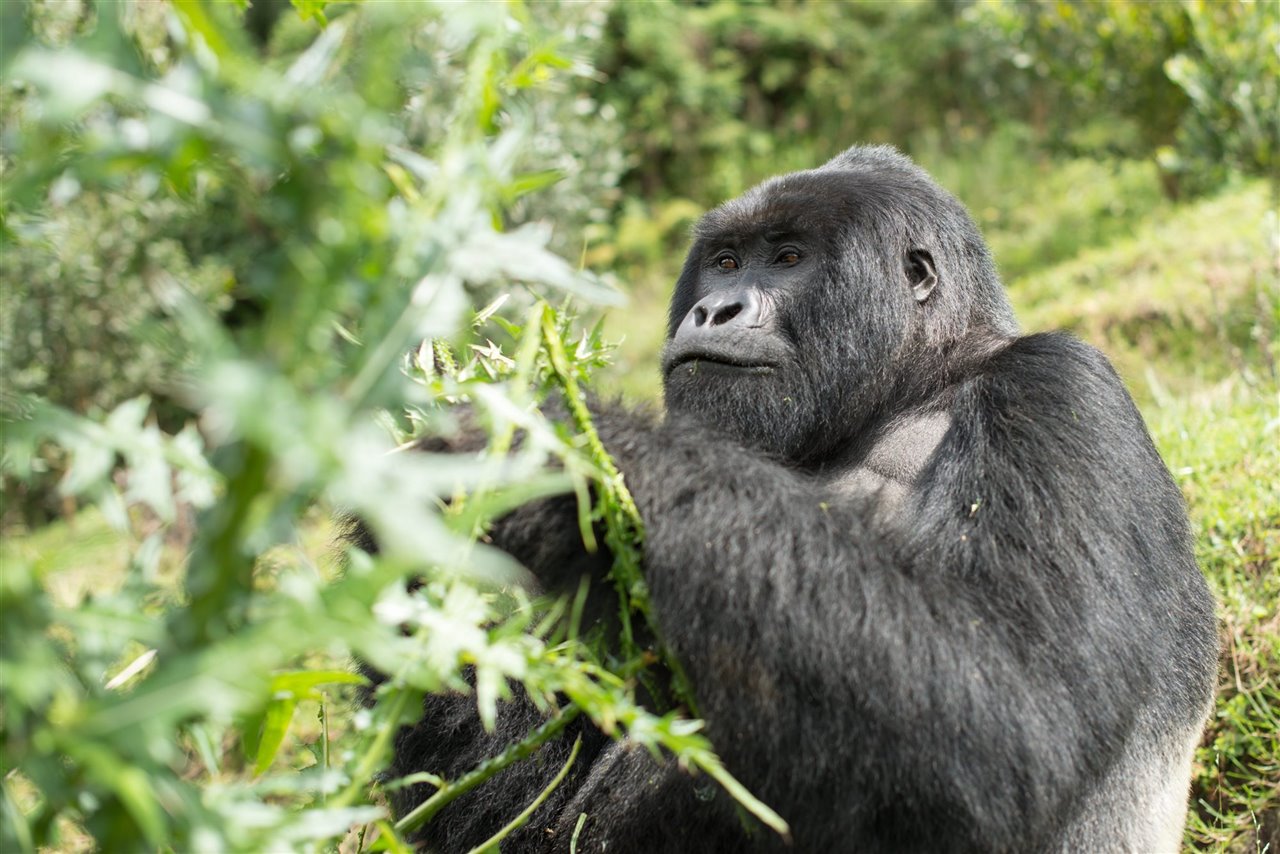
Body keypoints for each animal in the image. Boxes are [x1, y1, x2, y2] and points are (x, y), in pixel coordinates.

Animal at [363, 148, 1218, 854]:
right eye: (725, 262)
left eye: (788, 259)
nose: (716, 310)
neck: (916, 382)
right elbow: (503, 816)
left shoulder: (1058, 389)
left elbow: (1014, 715)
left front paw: (579, 449)